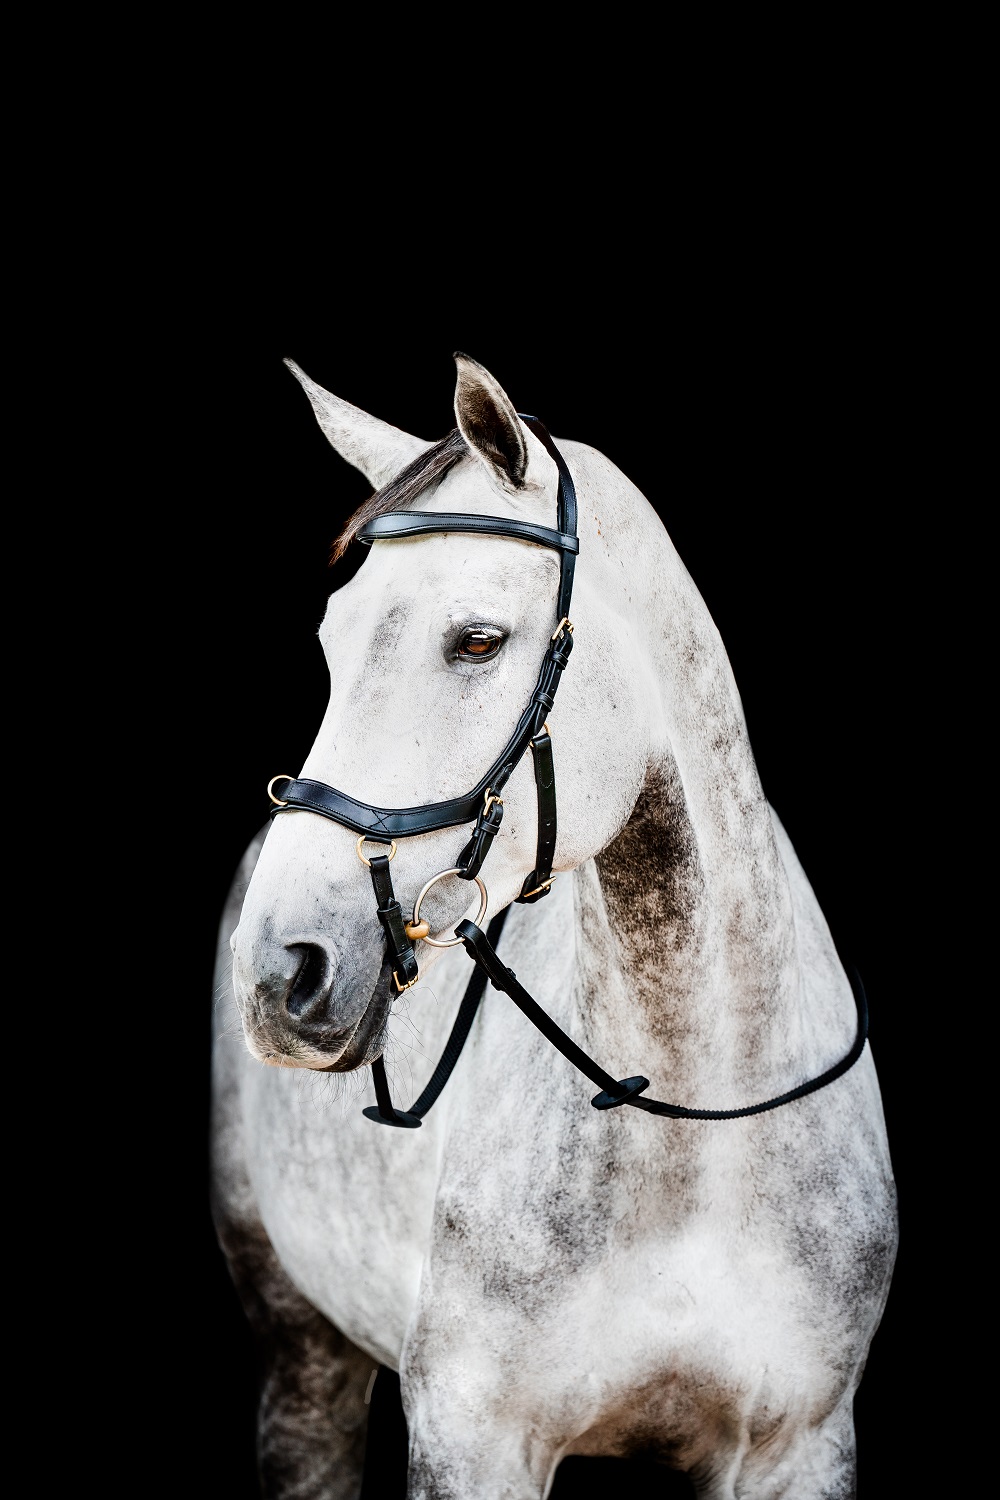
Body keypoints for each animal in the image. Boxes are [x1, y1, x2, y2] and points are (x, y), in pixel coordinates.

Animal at [211, 352, 897, 1499]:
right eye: (331, 642)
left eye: (478, 640)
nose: (279, 973)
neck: (691, 1125)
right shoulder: (471, 1439)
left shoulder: (797, 1447)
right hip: (299, 1350)